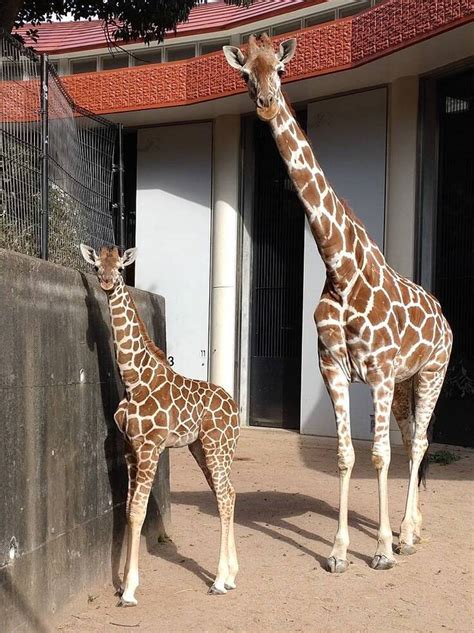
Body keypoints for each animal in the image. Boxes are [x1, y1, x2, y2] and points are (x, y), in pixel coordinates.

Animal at [80, 244, 241, 604]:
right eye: (97, 266)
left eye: (121, 268)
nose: (107, 282)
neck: (133, 380)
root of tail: (235, 409)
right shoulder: (129, 448)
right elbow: (127, 511)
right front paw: (124, 583)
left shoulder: (150, 447)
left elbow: (139, 511)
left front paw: (128, 590)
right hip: (200, 447)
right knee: (228, 492)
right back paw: (232, 575)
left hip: (217, 446)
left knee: (224, 496)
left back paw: (219, 580)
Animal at [224, 32, 454, 572]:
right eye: (245, 72)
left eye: (280, 70)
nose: (266, 104)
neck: (340, 269)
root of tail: (442, 315)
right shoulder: (334, 368)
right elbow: (348, 455)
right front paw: (339, 551)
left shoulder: (380, 372)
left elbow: (379, 456)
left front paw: (382, 551)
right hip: (407, 382)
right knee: (411, 439)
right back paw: (409, 530)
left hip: (431, 372)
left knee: (418, 441)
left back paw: (405, 536)